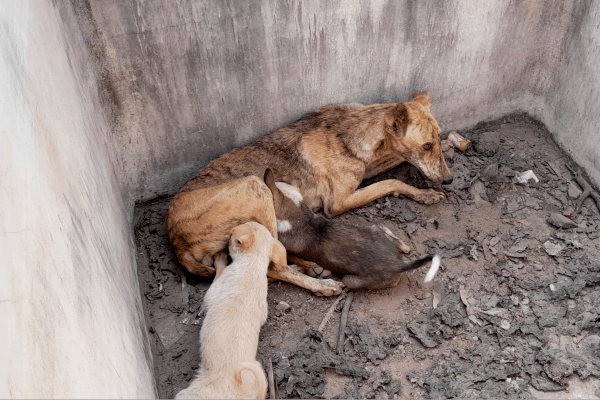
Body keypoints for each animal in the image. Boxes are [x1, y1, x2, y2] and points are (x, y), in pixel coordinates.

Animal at [167, 91, 451, 295]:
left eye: (436, 139)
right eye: (426, 146)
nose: (449, 180)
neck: (352, 132)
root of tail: (175, 238)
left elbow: (394, 162)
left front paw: (449, 147)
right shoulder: (339, 203)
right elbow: (391, 182)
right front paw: (425, 193)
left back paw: (312, 267)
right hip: (255, 187)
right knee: (272, 267)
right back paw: (321, 284)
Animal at [175, 222, 282, 399]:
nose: (224, 245)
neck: (253, 264)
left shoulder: (214, 290)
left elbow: (217, 274)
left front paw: (219, 257)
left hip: (191, 394)